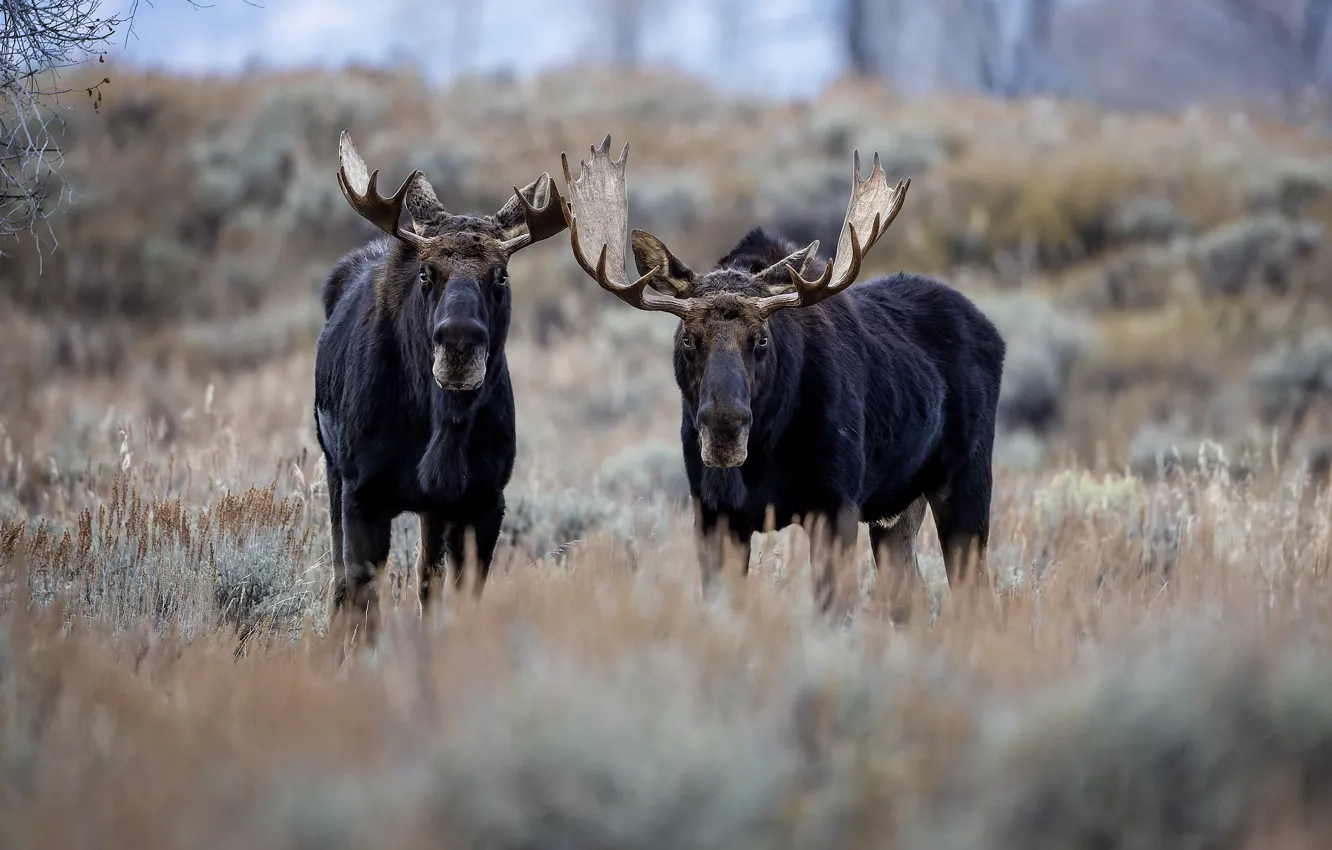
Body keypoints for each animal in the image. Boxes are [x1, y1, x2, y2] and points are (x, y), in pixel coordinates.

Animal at [314, 131, 568, 645]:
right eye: (426, 272)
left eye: (501, 275)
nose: (459, 344)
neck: (441, 429)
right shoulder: (362, 493)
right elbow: (364, 604)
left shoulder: (484, 500)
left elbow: (457, 597)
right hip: (330, 467)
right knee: (339, 584)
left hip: (433, 508)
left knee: (425, 580)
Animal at [559, 135, 1006, 621]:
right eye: (687, 339)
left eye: (762, 338)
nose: (724, 428)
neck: (766, 449)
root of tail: (993, 332)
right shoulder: (714, 513)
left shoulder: (835, 503)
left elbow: (834, 608)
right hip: (897, 509)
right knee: (911, 594)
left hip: (965, 480)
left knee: (974, 593)